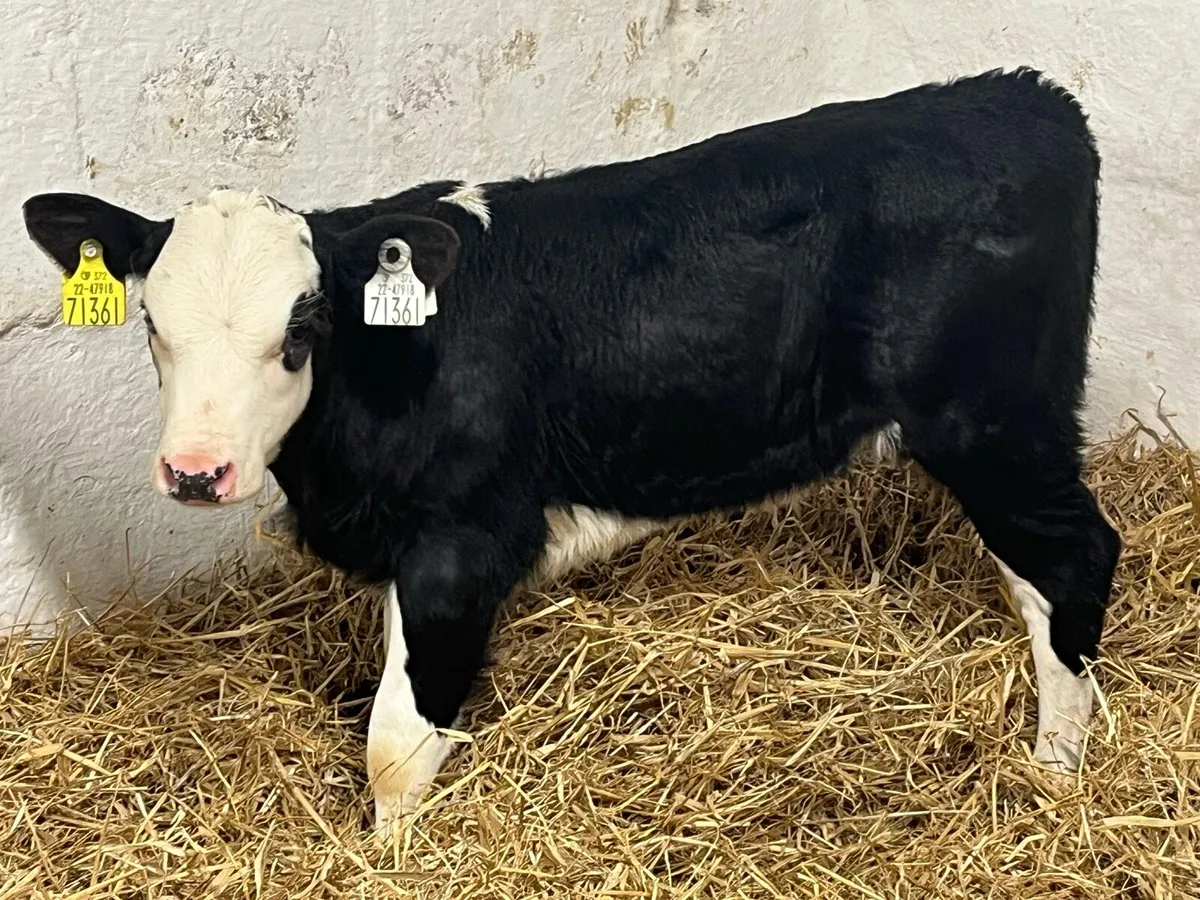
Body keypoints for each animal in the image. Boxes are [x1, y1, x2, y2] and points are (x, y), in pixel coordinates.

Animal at [23, 67, 1121, 833]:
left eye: (304, 322)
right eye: (151, 322)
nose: (196, 471)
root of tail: (1025, 98)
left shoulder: (463, 543)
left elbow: (395, 747)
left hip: (994, 418)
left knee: (1078, 557)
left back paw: (1056, 775)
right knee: (1034, 582)